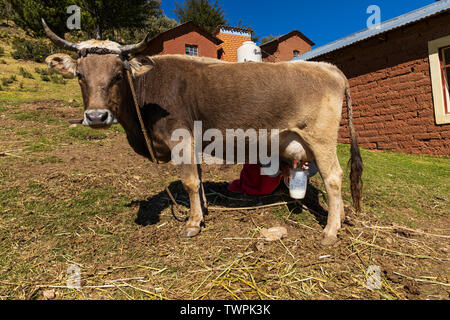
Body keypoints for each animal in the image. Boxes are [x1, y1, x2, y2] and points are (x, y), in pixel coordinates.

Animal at [43, 19, 362, 245]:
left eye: (119, 75)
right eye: (80, 75)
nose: (96, 116)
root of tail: (328, 67)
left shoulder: (180, 138)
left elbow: (189, 182)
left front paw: (193, 224)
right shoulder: (192, 142)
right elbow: (197, 179)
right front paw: (204, 212)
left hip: (320, 138)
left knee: (334, 177)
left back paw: (330, 231)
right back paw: (341, 217)